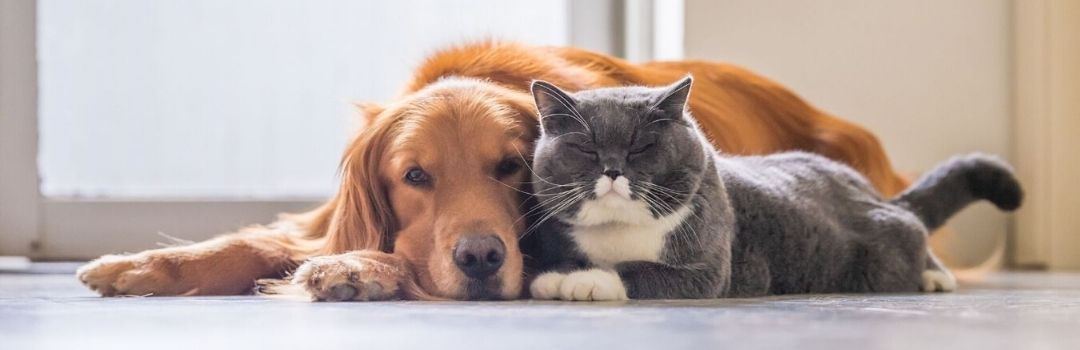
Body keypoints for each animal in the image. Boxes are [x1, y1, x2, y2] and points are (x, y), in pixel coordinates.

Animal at [76, 41, 907, 300]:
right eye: (414, 178)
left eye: (510, 167)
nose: (480, 258)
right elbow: (255, 241)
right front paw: (137, 266)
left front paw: (358, 270)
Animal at [527, 76, 1023, 300]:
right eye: (587, 149)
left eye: (641, 146)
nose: (613, 169)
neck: (620, 231)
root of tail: (867, 190)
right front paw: (560, 273)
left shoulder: (708, 270)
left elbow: (636, 271)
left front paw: (579, 282)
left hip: (884, 249)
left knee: (913, 229)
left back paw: (935, 276)